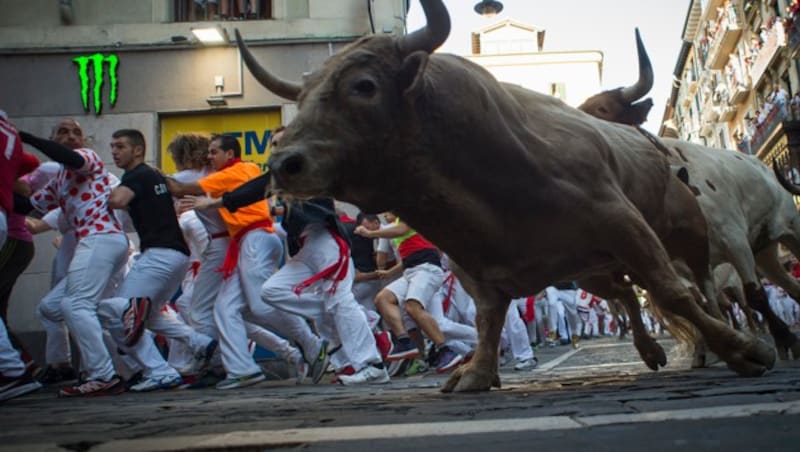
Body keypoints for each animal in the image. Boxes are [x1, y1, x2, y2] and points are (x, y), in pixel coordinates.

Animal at [234, 0, 772, 392]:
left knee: (700, 289)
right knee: (627, 297)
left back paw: (721, 342)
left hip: (686, 239)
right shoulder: (478, 270)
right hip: (593, 271)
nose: (284, 164)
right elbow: (488, 320)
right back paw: (654, 350)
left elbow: (672, 292)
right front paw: (474, 373)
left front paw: (744, 350)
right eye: (302, 98)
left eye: (363, 85)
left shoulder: (623, 224)